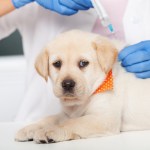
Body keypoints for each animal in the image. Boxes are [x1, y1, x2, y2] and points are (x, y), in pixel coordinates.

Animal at [15, 29, 150, 144]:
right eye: (57, 64)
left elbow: (72, 123)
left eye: (83, 63)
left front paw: (49, 131)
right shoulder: (68, 113)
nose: (67, 84)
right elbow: (50, 118)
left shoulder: (104, 118)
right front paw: (30, 128)